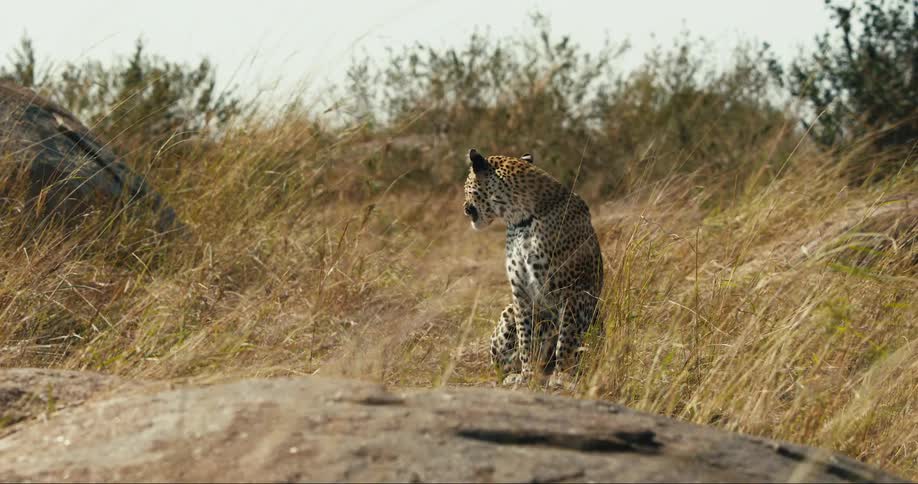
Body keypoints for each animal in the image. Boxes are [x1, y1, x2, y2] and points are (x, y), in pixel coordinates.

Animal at [462, 148, 603, 387]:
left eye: (466, 186)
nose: (464, 207)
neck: (521, 221)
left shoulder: (574, 291)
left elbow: (567, 336)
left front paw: (562, 374)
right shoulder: (521, 293)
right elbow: (526, 338)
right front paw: (527, 374)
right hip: (508, 311)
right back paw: (514, 375)